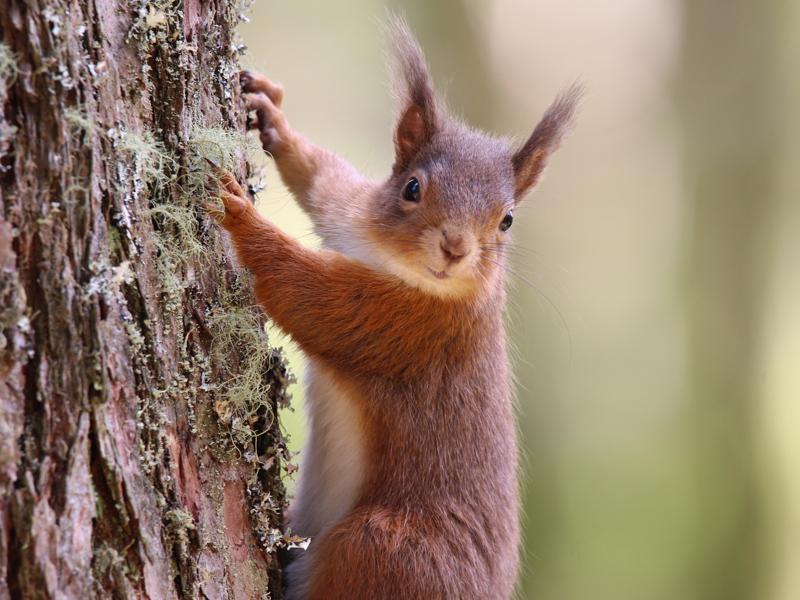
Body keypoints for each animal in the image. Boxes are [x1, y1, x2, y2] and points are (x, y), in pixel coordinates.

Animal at [209, 18, 580, 600]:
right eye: (411, 187)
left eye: (507, 220)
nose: (455, 248)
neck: (392, 262)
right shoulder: (349, 215)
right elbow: (323, 178)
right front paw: (273, 117)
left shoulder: (408, 328)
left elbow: (310, 298)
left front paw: (240, 218)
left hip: (385, 550)